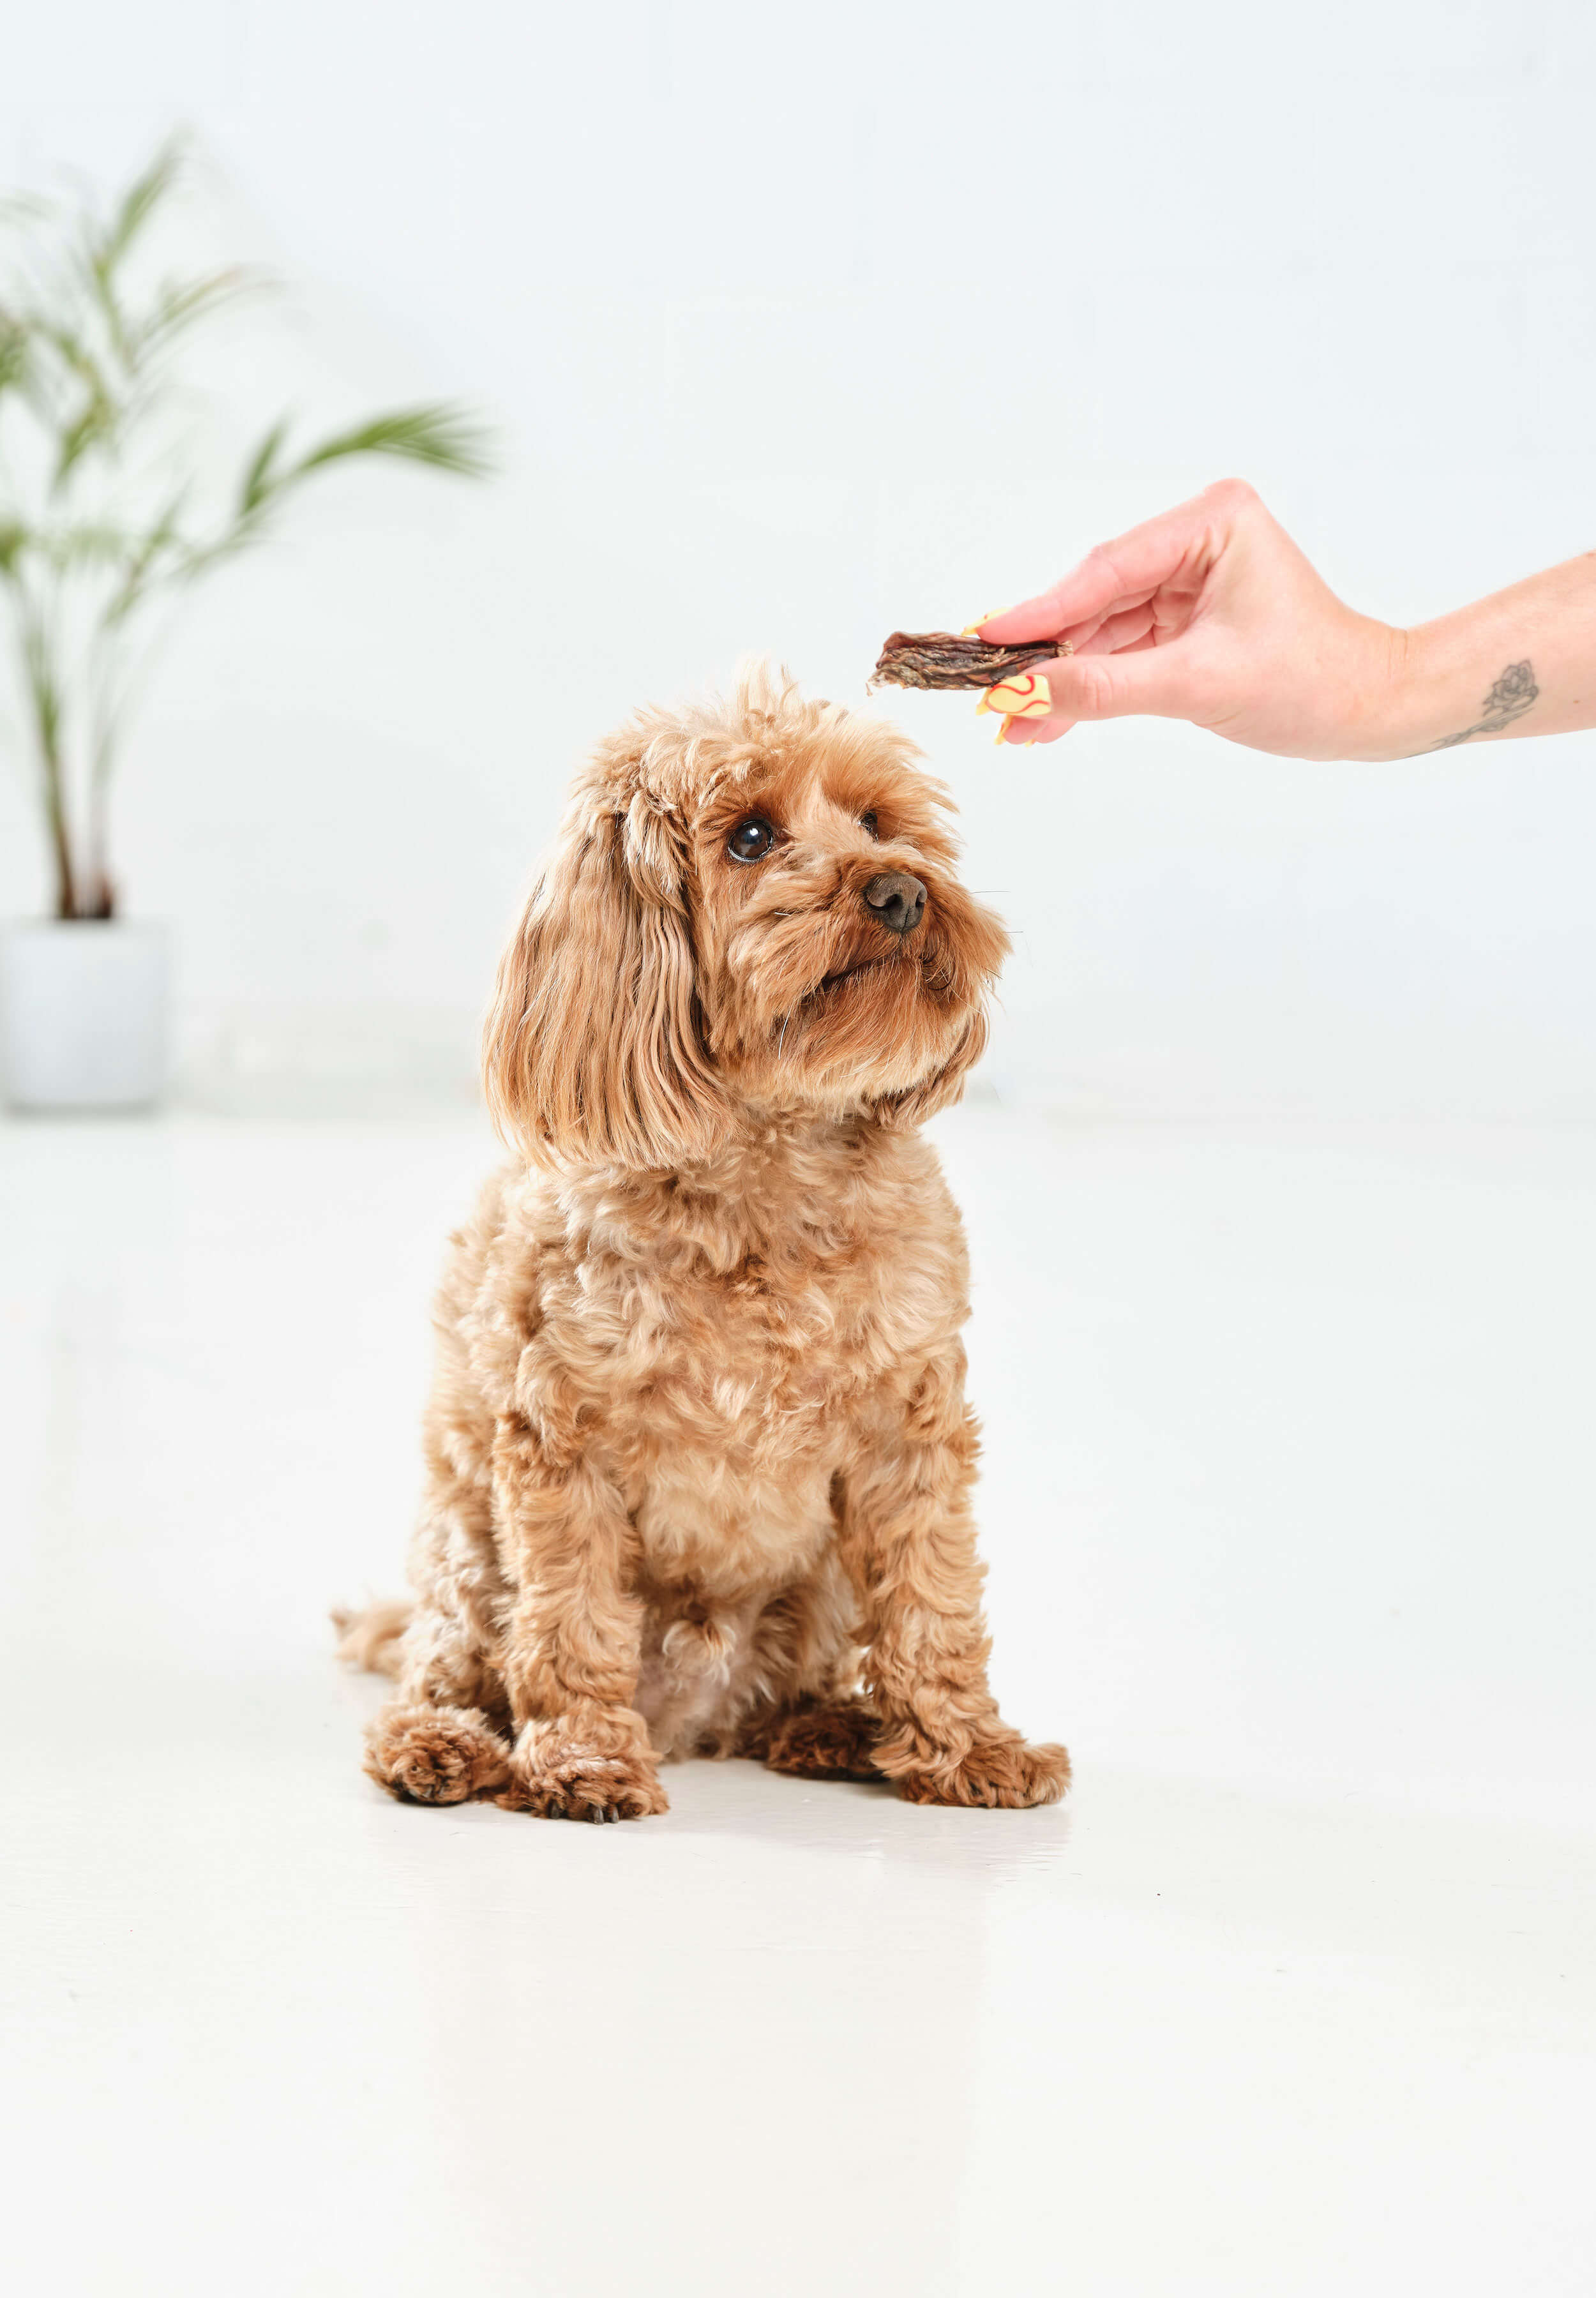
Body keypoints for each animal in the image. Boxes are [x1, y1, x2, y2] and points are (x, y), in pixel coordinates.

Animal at [333, 671, 1076, 1829]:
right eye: (751, 837)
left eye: (878, 822)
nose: (902, 893)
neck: (769, 1171)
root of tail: (699, 1721)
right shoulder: (561, 1438)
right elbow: (569, 1620)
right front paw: (582, 1761)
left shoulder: (909, 1432)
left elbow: (932, 1600)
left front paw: (970, 1748)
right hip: (461, 1544)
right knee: (447, 1658)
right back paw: (440, 1745)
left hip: (814, 1591)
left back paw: (830, 1728)